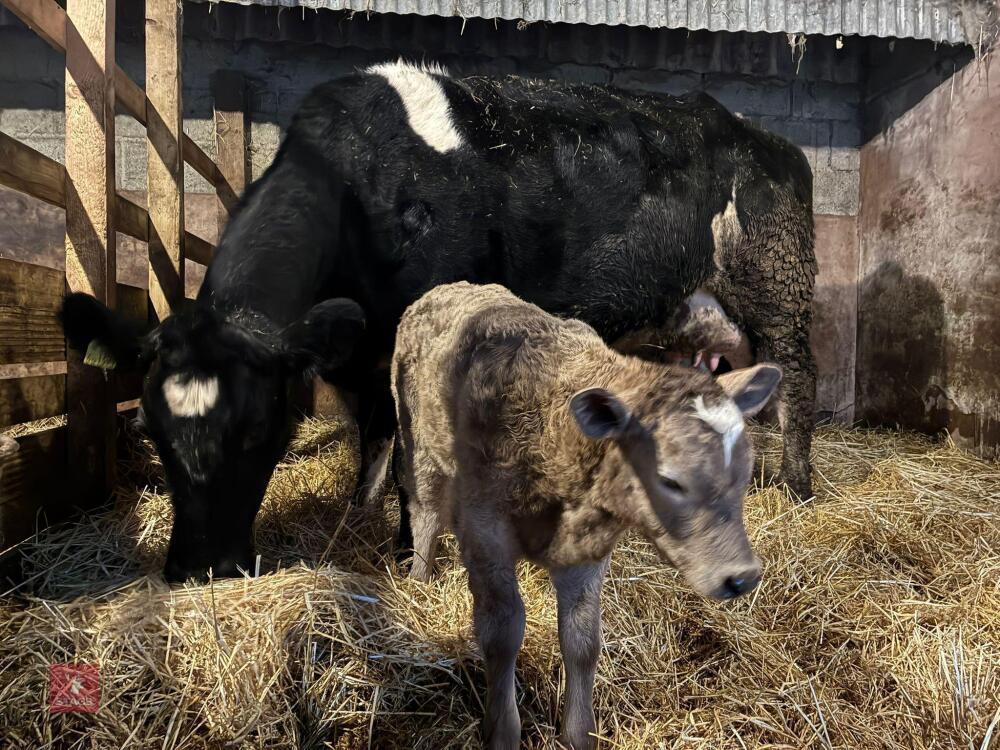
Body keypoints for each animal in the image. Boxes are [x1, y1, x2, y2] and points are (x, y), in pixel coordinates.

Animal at [60, 61, 816, 582]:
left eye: (258, 431)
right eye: (150, 429)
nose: (200, 569)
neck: (356, 184)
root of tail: (763, 135)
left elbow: (407, 460)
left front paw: (404, 550)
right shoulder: (357, 354)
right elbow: (369, 438)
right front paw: (358, 510)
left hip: (781, 294)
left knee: (796, 395)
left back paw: (798, 490)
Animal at [392, 281, 781, 749]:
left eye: (745, 470)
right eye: (669, 479)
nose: (741, 577)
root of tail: (451, 287)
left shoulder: (587, 552)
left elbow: (582, 639)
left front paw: (578, 733)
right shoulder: (486, 533)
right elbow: (502, 633)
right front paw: (501, 730)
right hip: (419, 443)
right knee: (426, 513)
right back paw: (419, 579)